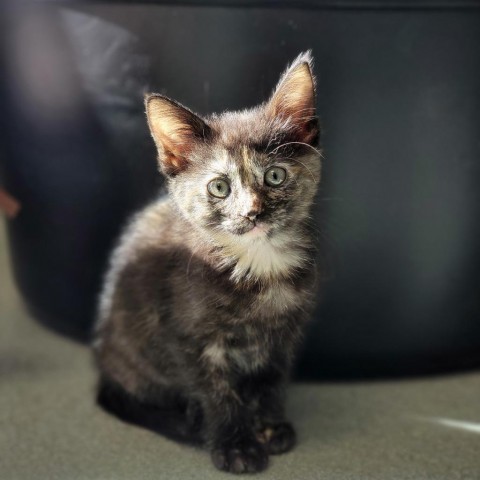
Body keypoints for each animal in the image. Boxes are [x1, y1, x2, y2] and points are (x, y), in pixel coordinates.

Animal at [92, 51, 320, 472]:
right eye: (219, 187)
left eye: (275, 176)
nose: (252, 213)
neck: (256, 262)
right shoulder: (187, 336)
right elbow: (216, 392)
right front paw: (237, 445)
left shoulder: (287, 331)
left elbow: (273, 378)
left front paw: (270, 425)